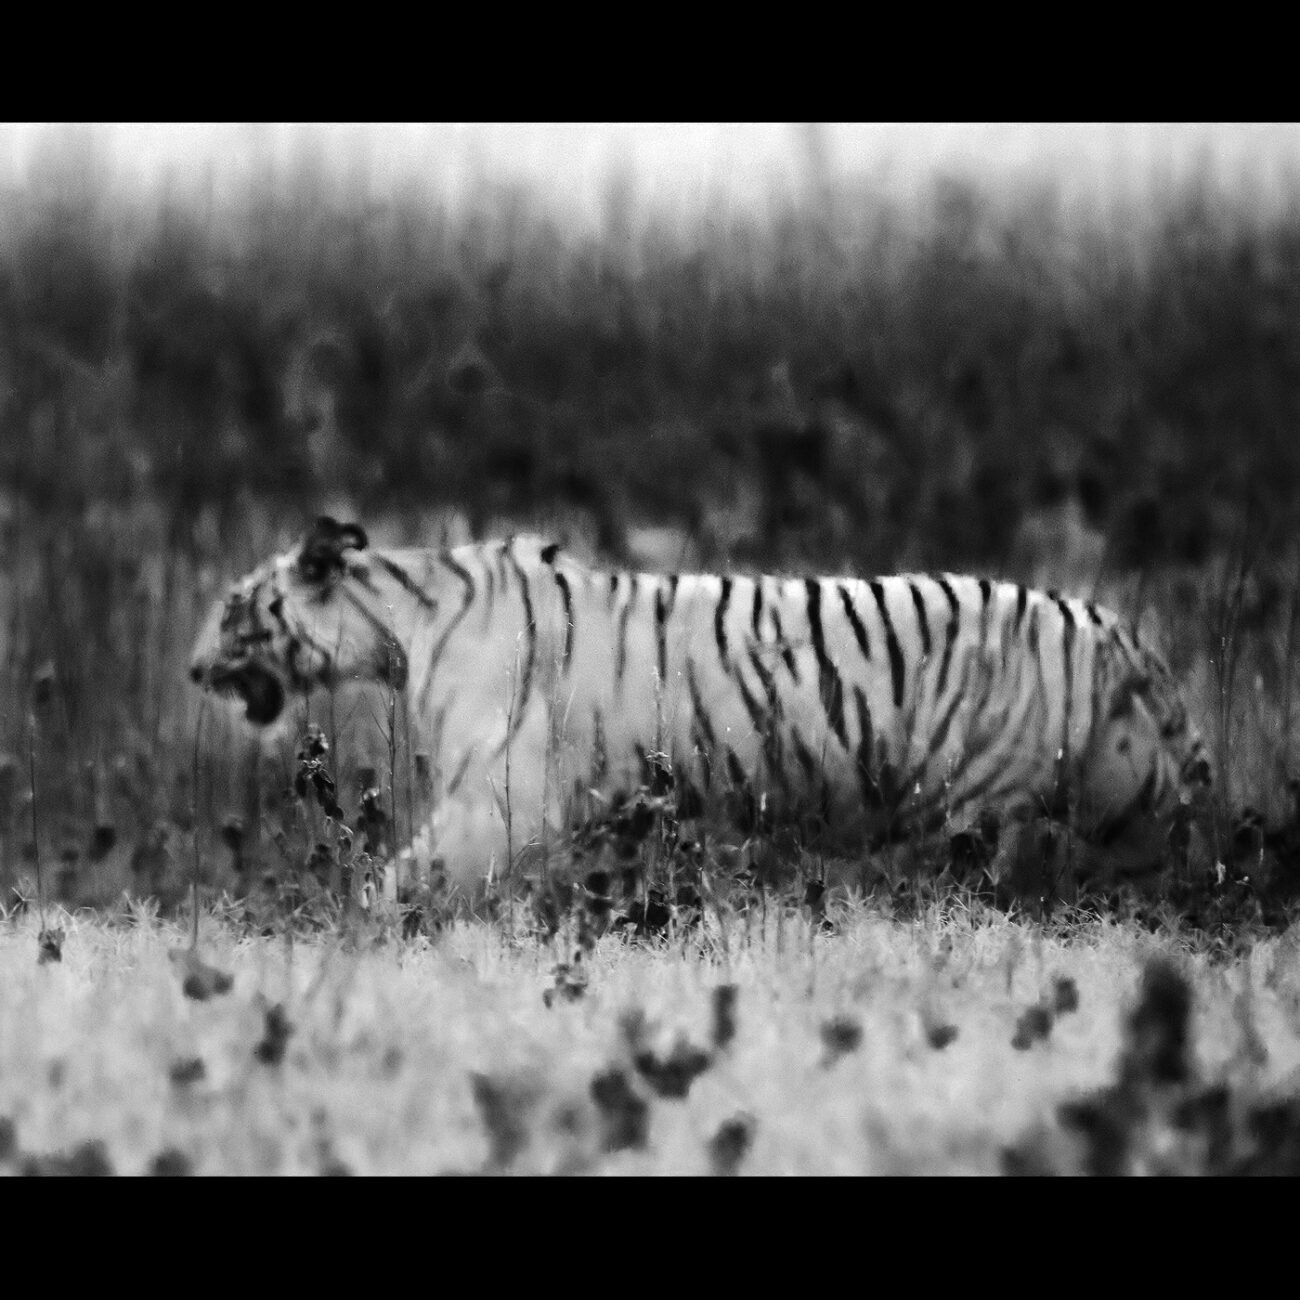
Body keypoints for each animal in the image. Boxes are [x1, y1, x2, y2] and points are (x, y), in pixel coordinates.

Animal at [190, 516, 1212, 897]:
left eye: (234, 609)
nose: (195, 669)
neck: (401, 623)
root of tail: (1123, 635)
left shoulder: (500, 793)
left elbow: (410, 874)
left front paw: (363, 923)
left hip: (992, 804)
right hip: (1126, 793)